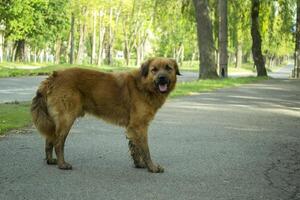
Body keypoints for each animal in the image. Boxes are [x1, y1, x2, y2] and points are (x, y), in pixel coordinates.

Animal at [31, 57, 179, 173]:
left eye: (168, 68)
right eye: (154, 69)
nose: (162, 78)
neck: (143, 85)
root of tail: (53, 76)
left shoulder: (133, 127)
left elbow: (135, 148)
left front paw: (139, 164)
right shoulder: (139, 126)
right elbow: (145, 149)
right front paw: (152, 167)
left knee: (49, 139)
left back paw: (50, 160)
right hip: (66, 119)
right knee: (58, 142)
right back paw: (62, 164)